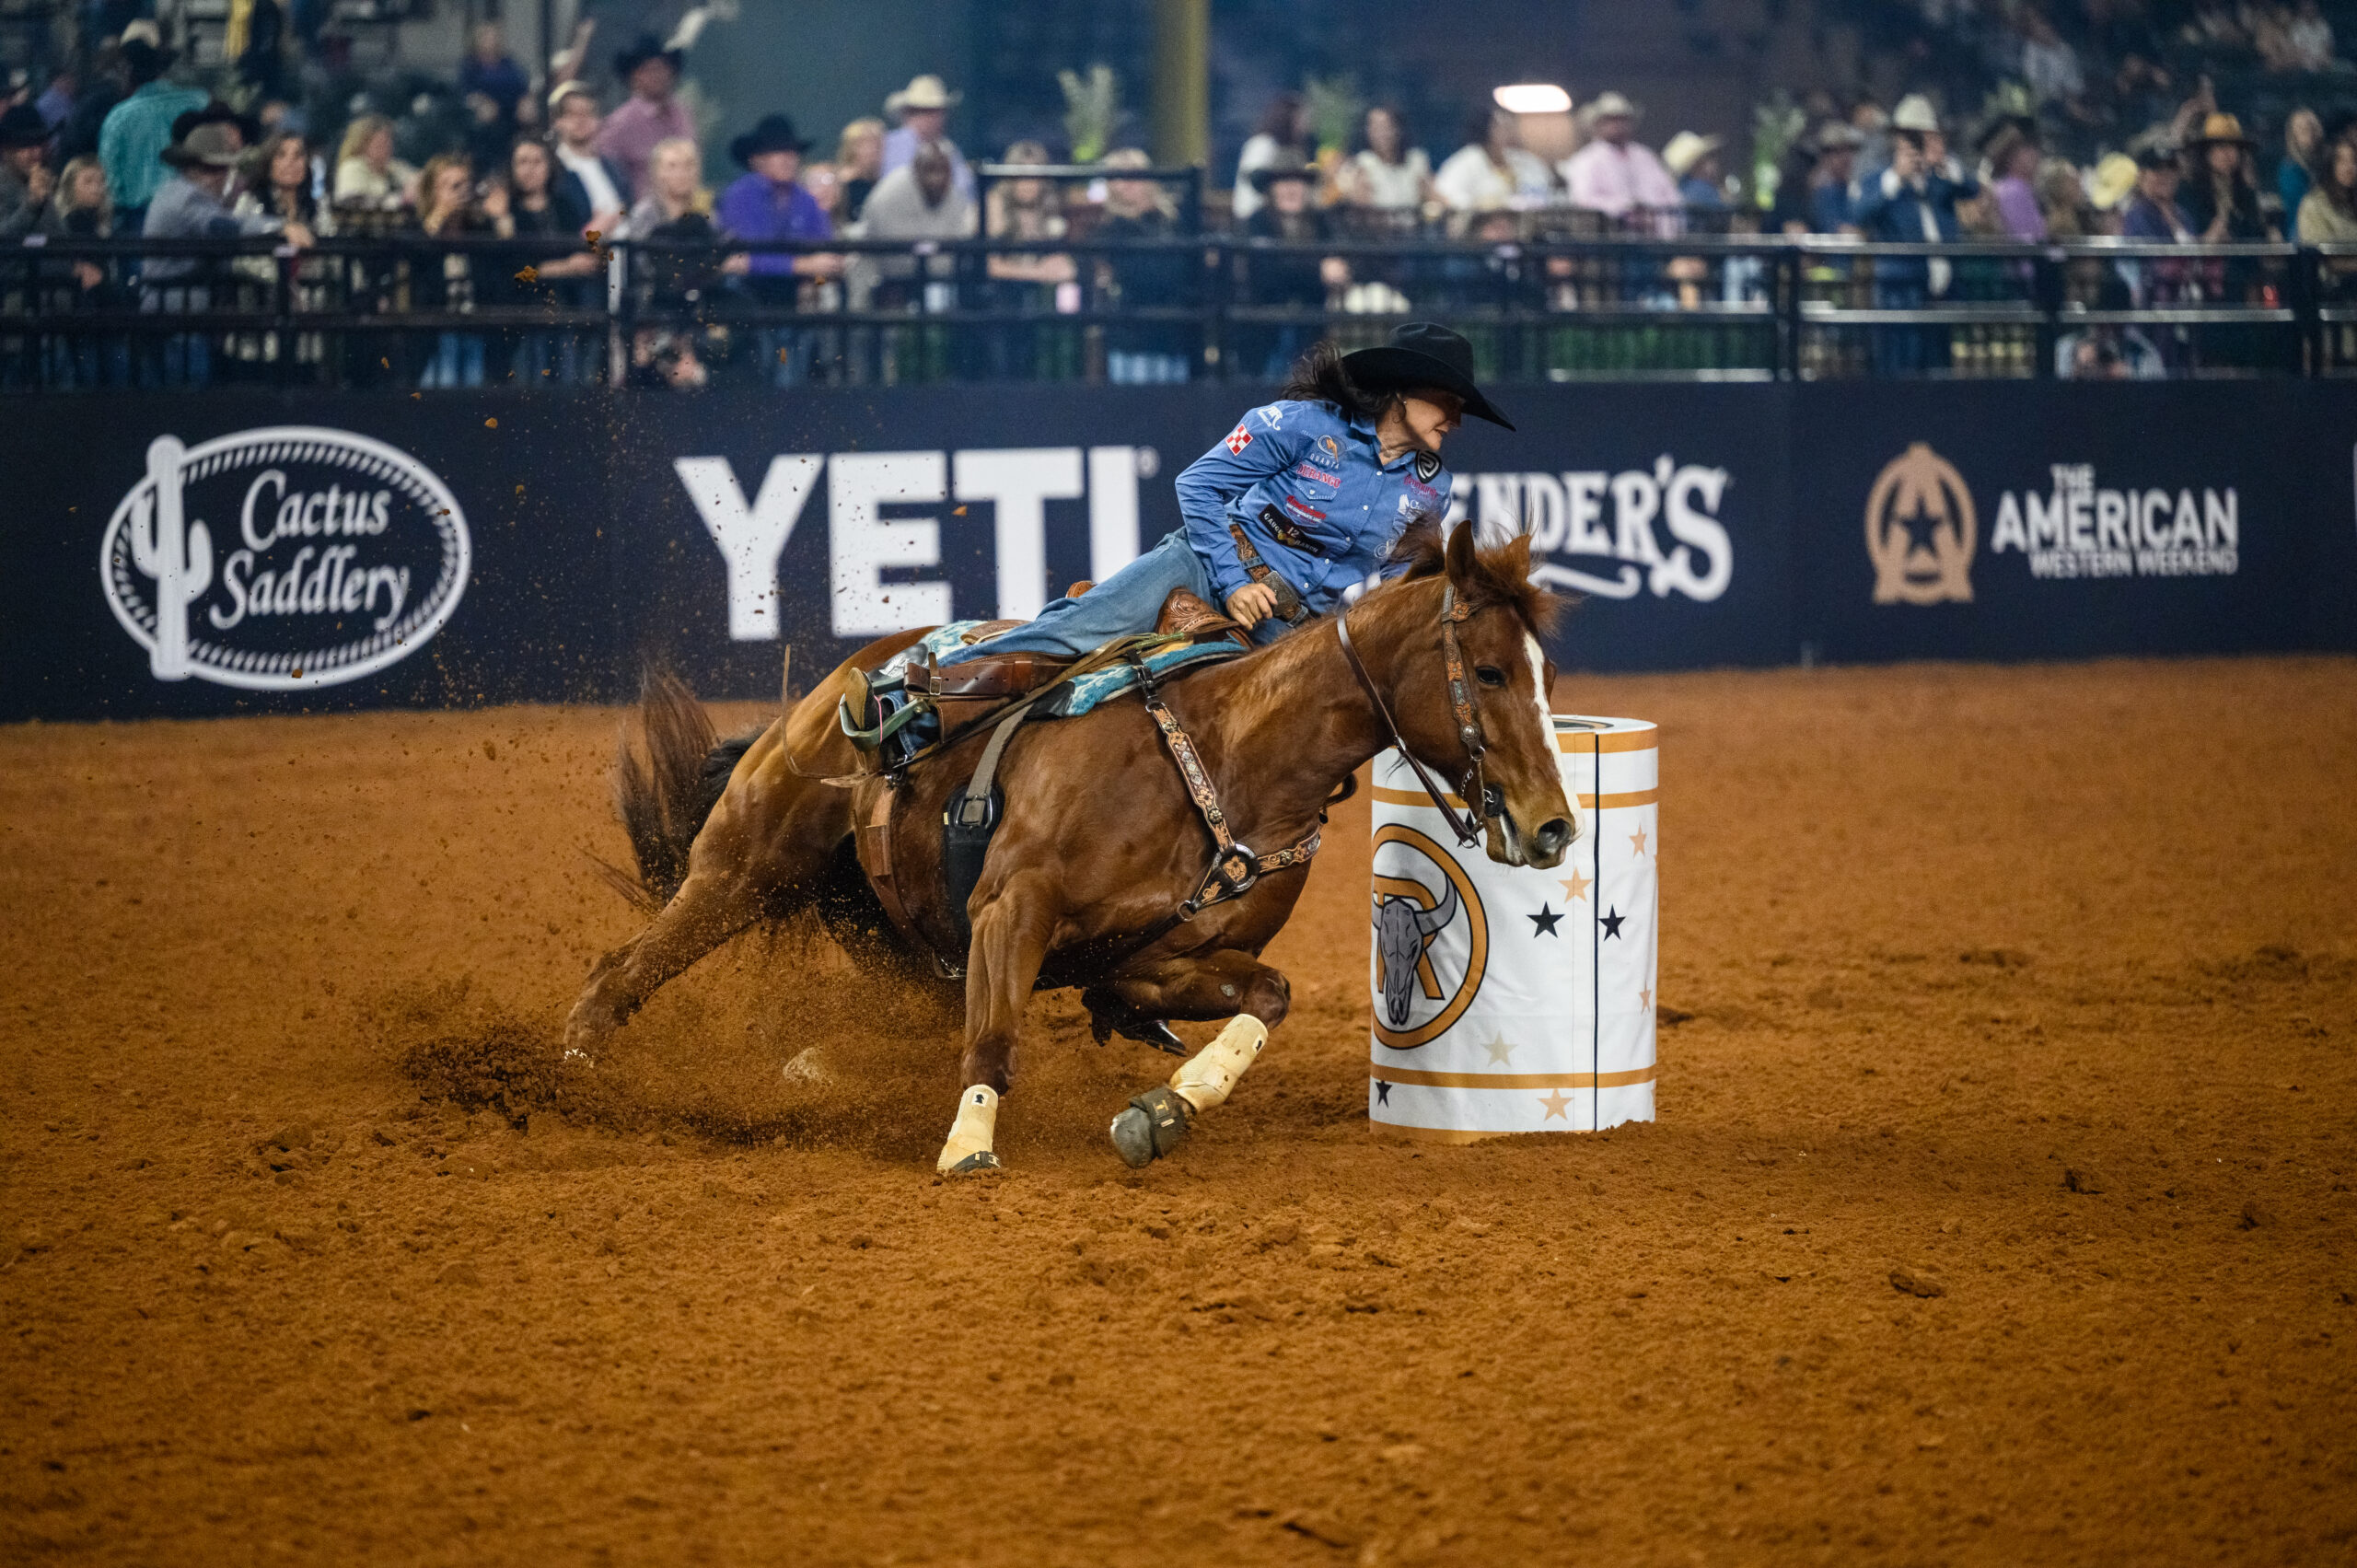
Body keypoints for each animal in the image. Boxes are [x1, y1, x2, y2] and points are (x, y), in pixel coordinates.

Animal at [564, 522, 1580, 1174]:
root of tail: (838, 684)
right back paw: (567, 1077)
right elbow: (995, 1040)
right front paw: (968, 1147)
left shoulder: (1149, 963)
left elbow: (1269, 995)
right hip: (745, 864)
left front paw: (1167, 1106)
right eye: (1490, 671)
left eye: (1547, 674)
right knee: (625, 967)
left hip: (901, 944)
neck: (1228, 759)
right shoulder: (1012, 907)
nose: (1553, 824)